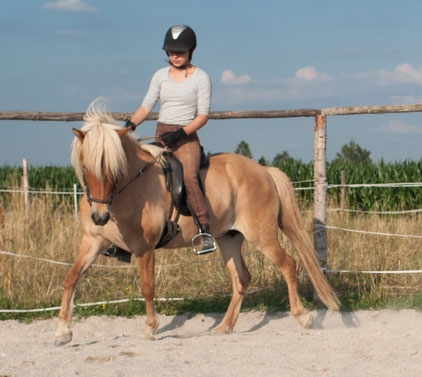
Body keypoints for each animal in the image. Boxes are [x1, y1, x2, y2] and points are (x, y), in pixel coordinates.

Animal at [55, 99, 340, 344]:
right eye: (86, 167)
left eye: (113, 169)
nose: (99, 217)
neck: (125, 191)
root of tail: (264, 171)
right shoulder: (94, 241)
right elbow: (70, 278)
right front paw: (62, 332)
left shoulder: (144, 248)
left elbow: (147, 287)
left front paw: (150, 328)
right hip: (227, 238)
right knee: (241, 278)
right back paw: (224, 326)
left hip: (262, 235)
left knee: (288, 265)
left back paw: (303, 317)